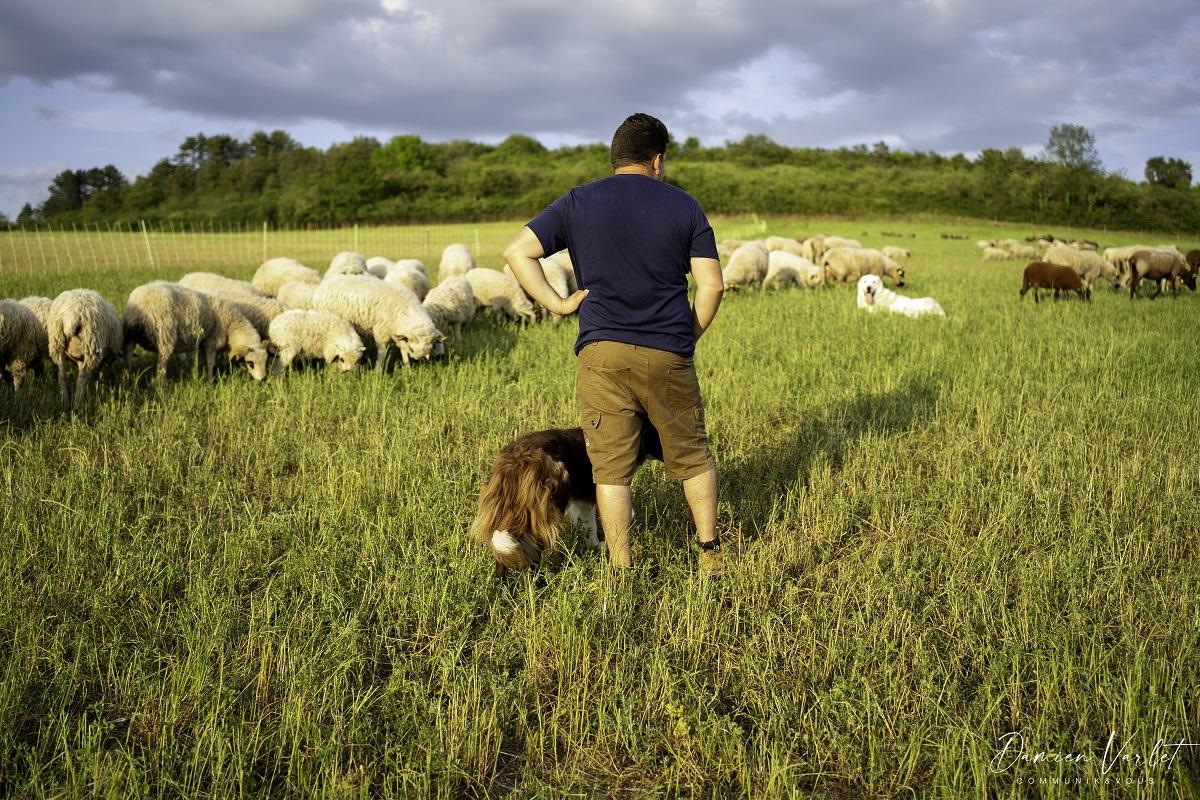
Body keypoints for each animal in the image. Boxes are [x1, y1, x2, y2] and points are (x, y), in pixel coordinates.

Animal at [123, 284, 268, 383]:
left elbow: (204, 362)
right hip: (164, 337)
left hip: (130, 336)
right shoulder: (211, 342)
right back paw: (162, 386)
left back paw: (127, 377)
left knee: (128, 356)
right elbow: (211, 363)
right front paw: (210, 381)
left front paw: (202, 376)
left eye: (266, 361)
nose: (263, 379)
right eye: (250, 363)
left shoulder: (203, 343)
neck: (232, 326)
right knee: (161, 367)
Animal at [312, 272, 444, 367]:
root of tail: (323, 285)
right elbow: (382, 354)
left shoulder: (399, 334)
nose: (416, 360)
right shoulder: (382, 333)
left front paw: (408, 369)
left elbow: (403, 351)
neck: (406, 310)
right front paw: (378, 371)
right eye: (413, 348)